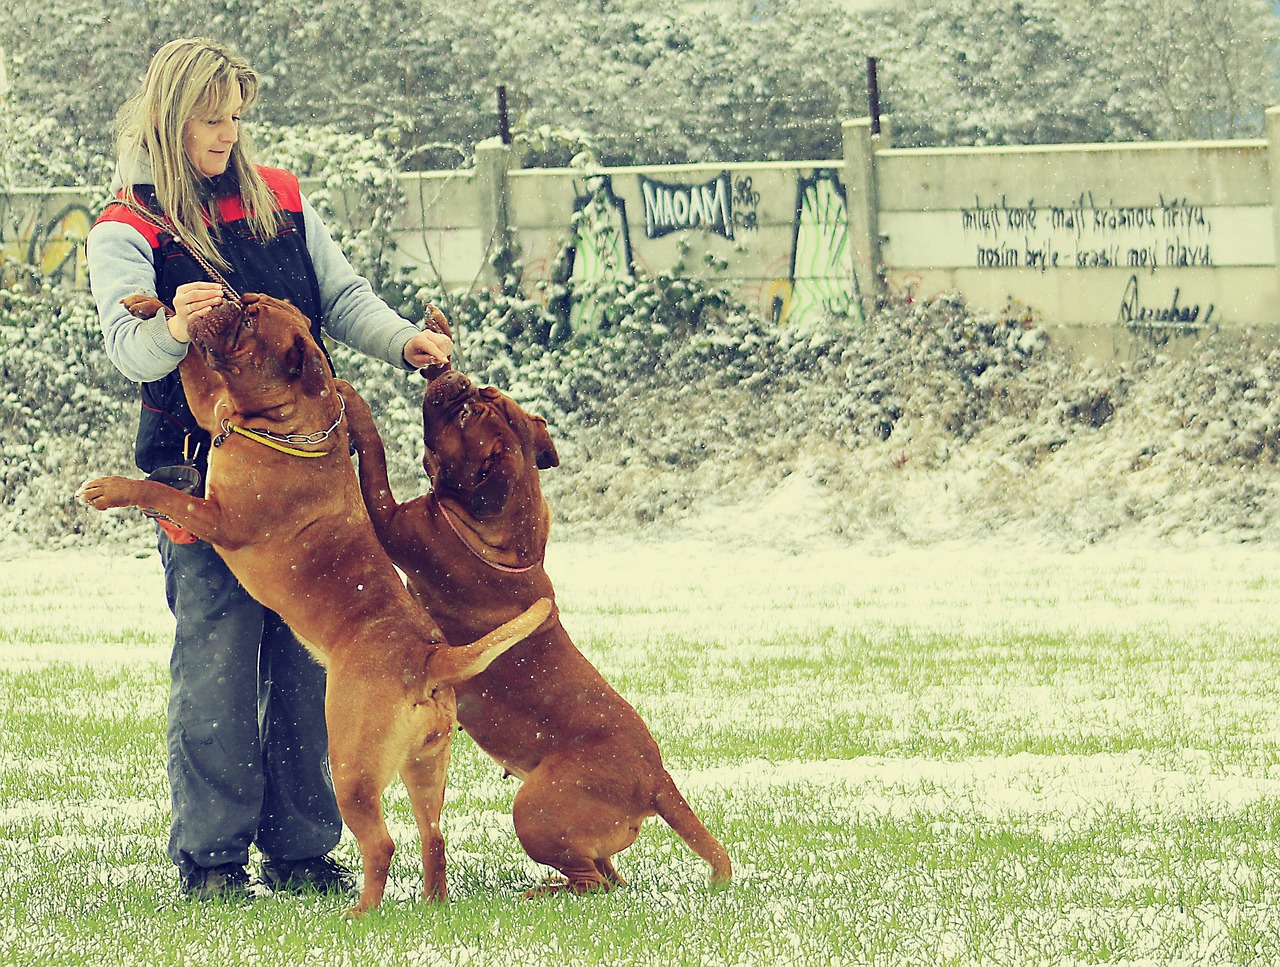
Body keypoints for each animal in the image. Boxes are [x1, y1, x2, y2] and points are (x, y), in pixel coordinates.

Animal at [78, 294, 550, 917]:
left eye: (251, 321)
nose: (226, 297)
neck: (289, 422)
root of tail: (430, 658)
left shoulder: (217, 517)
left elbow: (160, 490)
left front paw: (108, 489)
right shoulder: (212, 412)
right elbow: (193, 372)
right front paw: (154, 305)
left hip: (351, 765)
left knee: (382, 843)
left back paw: (362, 913)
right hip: (425, 765)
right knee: (434, 836)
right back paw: (430, 904)